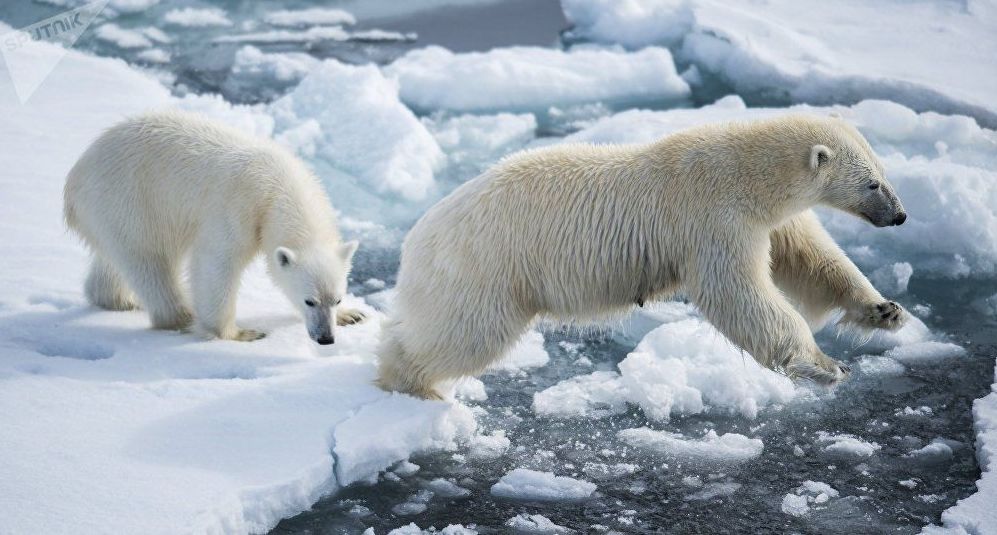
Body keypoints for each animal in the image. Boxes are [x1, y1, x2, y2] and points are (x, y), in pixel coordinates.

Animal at [380, 115, 912, 400]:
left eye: (884, 172)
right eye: (872, 184)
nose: (901, 215)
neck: (746, 172)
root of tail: (416, 236)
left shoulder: (769, 219)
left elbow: (812, 261)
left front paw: (885, 310)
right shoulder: (713, 218)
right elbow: (739, 294)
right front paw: (825, 364)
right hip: (485, 267)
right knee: (466, 332)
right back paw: (410, 381)